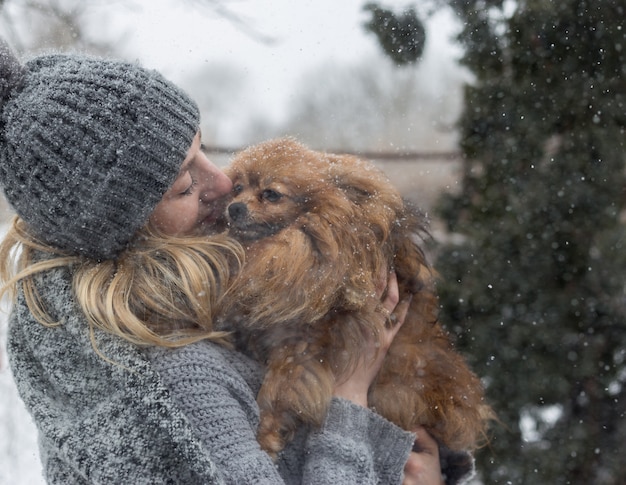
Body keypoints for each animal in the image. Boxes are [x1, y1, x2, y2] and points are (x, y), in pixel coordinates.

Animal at [217, 137, 490, 458]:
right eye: (237, 188)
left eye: (270, 194)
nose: (234, 207)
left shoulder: (300, 348)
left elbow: (275, 391)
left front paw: (266, 436)